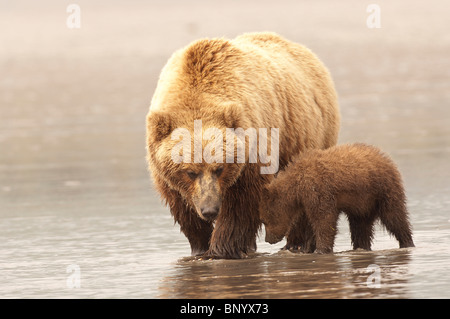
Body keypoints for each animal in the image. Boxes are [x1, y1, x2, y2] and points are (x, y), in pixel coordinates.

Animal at [146, 31, 340, 258]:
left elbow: (241, 204)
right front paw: (200, 246)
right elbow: (182, 205)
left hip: (308, 134)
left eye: (219, 168)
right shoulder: (164, 171)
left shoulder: (252, 150)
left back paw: (298, 244)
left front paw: (221, 249)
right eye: (190, 172)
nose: (210, 210)